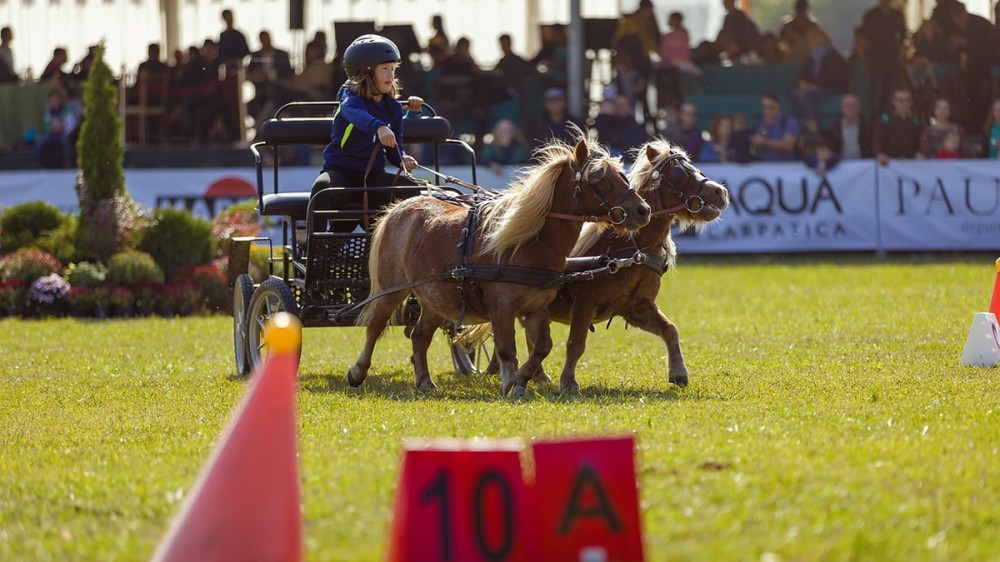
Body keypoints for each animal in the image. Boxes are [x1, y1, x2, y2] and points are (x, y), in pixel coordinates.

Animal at [348, 131, 652, 397]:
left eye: (621, 174)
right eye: (600, 179)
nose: (643, 210)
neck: (528, 242)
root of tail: (400, 206)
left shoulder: (536, 306)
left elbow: (542, 346)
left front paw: (523, 379)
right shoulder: (501, 306)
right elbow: (507, 348)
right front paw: (511, 384)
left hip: (435, 297)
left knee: (420, 336)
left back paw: (424, 381)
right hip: (393, 288)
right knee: (375, 325)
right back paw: (358, 372)